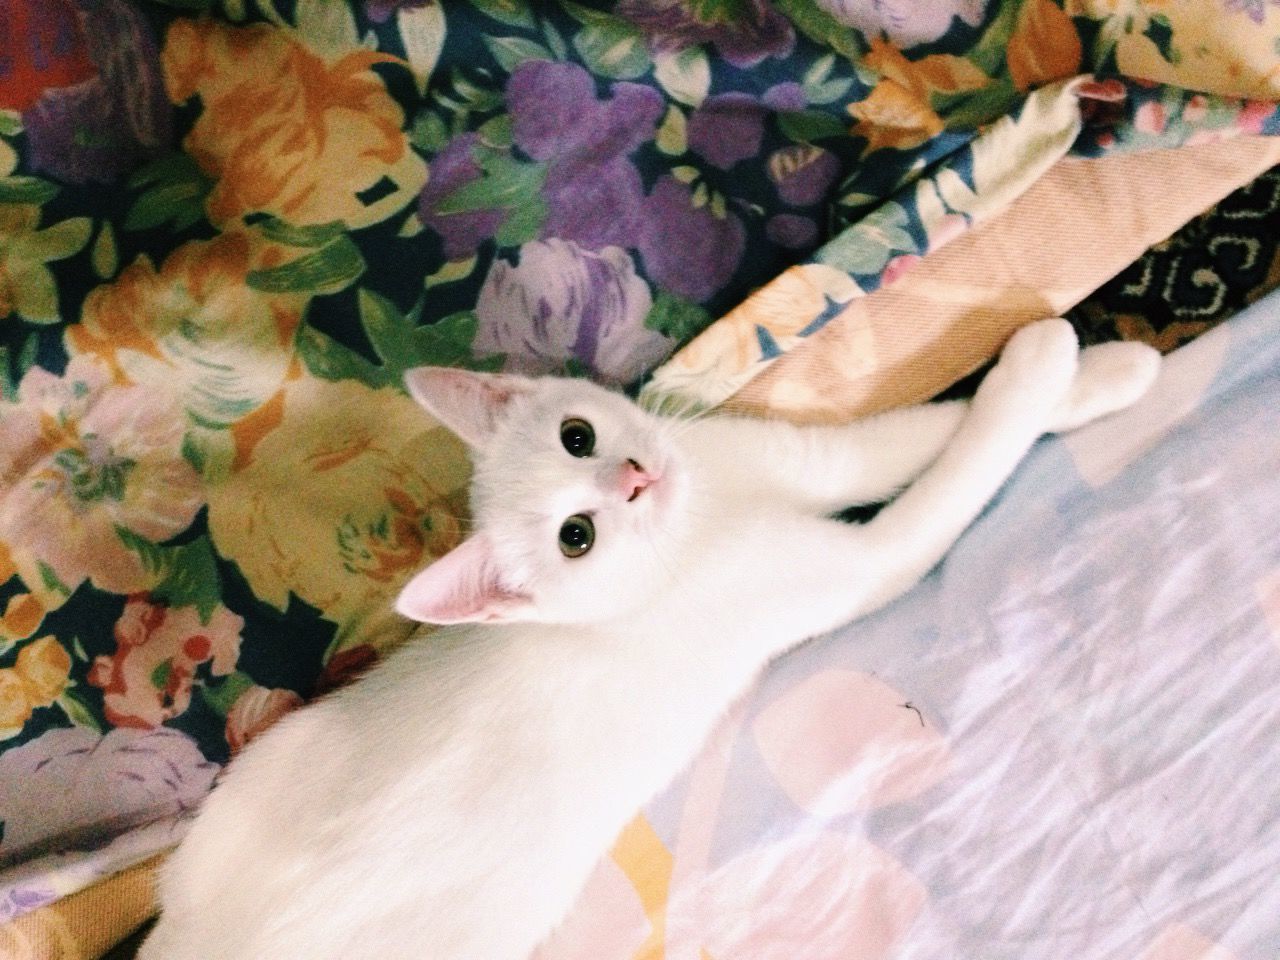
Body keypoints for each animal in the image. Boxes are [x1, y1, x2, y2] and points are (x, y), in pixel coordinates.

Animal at [140, 320, 1162, 957]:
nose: (634, 479)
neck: (699, 524)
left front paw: (1100, 371)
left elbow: (922, 427)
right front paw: (1046, 370)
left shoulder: (803, 455)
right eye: (575, 537)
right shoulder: (865, 562)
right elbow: (965, 459)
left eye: (578, 433)